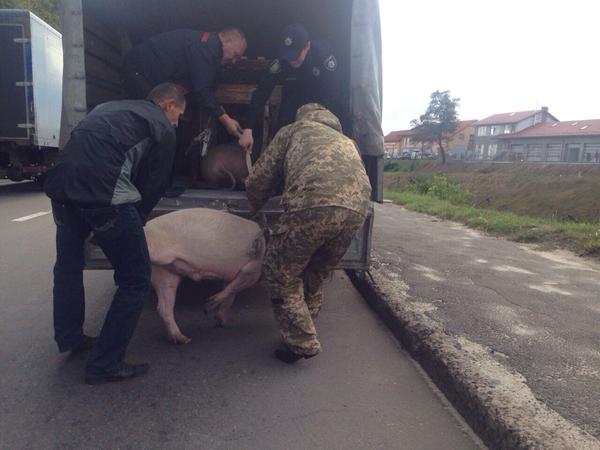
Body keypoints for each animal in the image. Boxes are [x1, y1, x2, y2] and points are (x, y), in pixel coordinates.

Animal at [144, 208, 264, 344]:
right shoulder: (252, 270)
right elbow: (233, 289)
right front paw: (207, 308)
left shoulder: (234, 274)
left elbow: (231, 295)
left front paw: (220, 321)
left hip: (164, 273)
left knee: (164, 307)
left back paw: (183, 339)